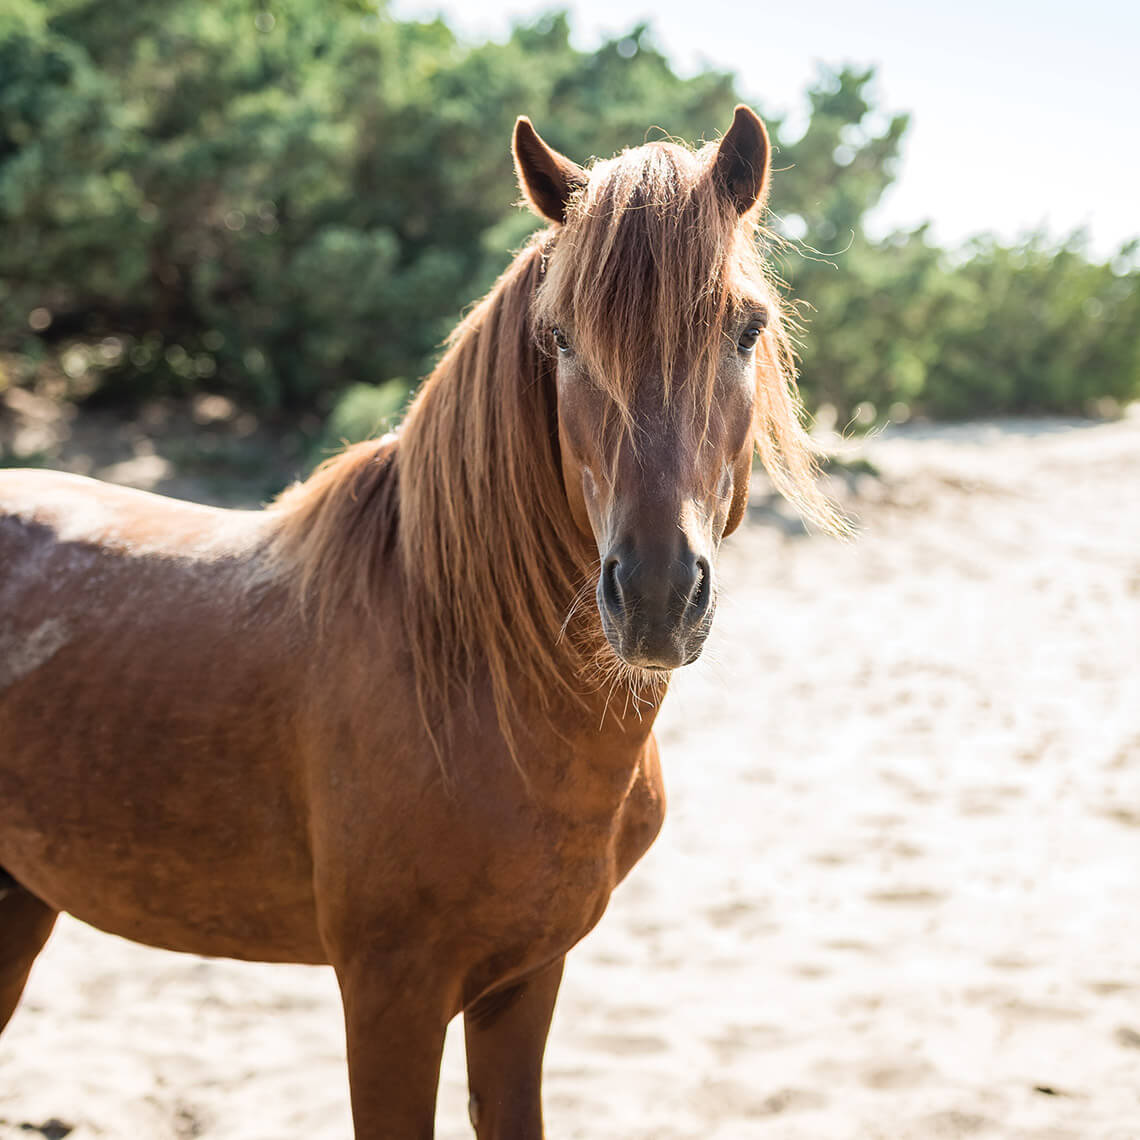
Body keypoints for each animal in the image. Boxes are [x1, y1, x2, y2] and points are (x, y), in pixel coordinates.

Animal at [0, 107, 840, 1137]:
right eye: (561, 338)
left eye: (746, 327)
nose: (652, 596)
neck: (476, 684)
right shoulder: (389, 997)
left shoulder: (525, 980)